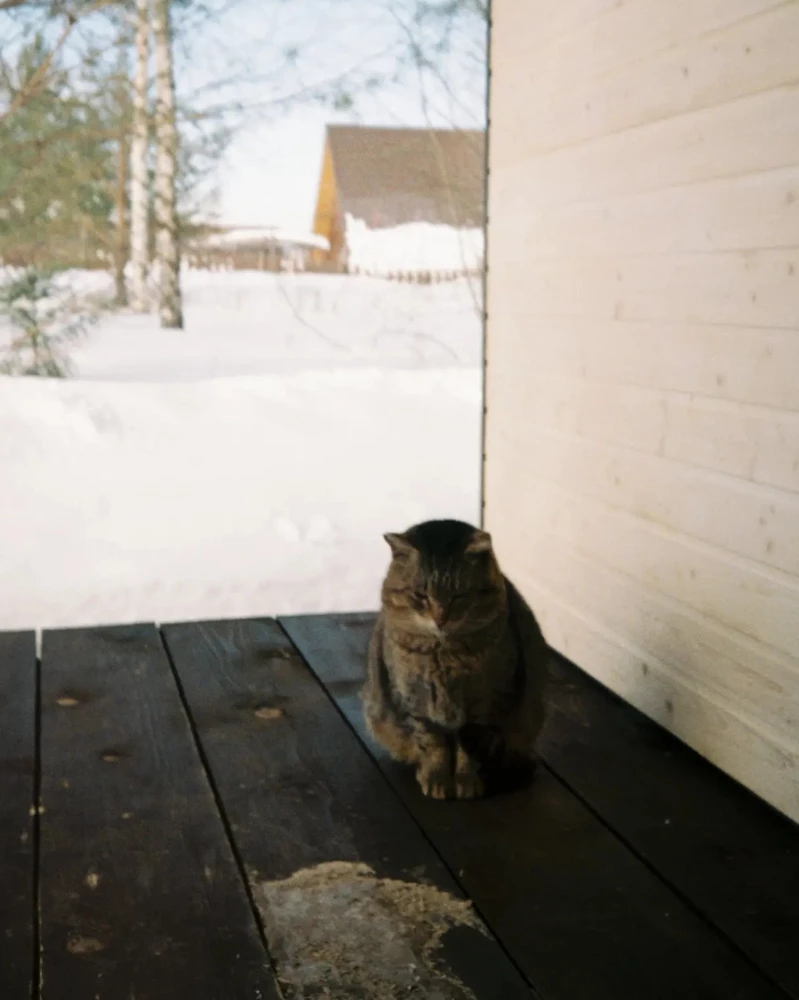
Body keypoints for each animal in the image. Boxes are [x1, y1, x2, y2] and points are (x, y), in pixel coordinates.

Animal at [362, 520, 552, 800]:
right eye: (421, 596)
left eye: (459, 596)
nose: (440, 619)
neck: (444, 653)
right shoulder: (414, 699)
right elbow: (433, 744)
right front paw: (436, 778)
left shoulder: (488, 701)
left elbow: (467, 751)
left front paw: (466, 781)